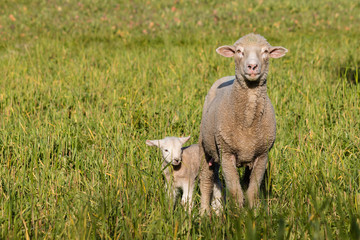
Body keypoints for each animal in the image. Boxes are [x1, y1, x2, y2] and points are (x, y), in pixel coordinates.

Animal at [198, 32, 288, 214]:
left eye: (266, 51)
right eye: (239, 51)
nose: (252, 66)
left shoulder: (262, 155)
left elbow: (252, 189)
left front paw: (254, 213)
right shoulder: (227, 153)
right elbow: (234, 191)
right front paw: (237, 215)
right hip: (206, 146)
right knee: (206, 179)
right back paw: (204, 212)